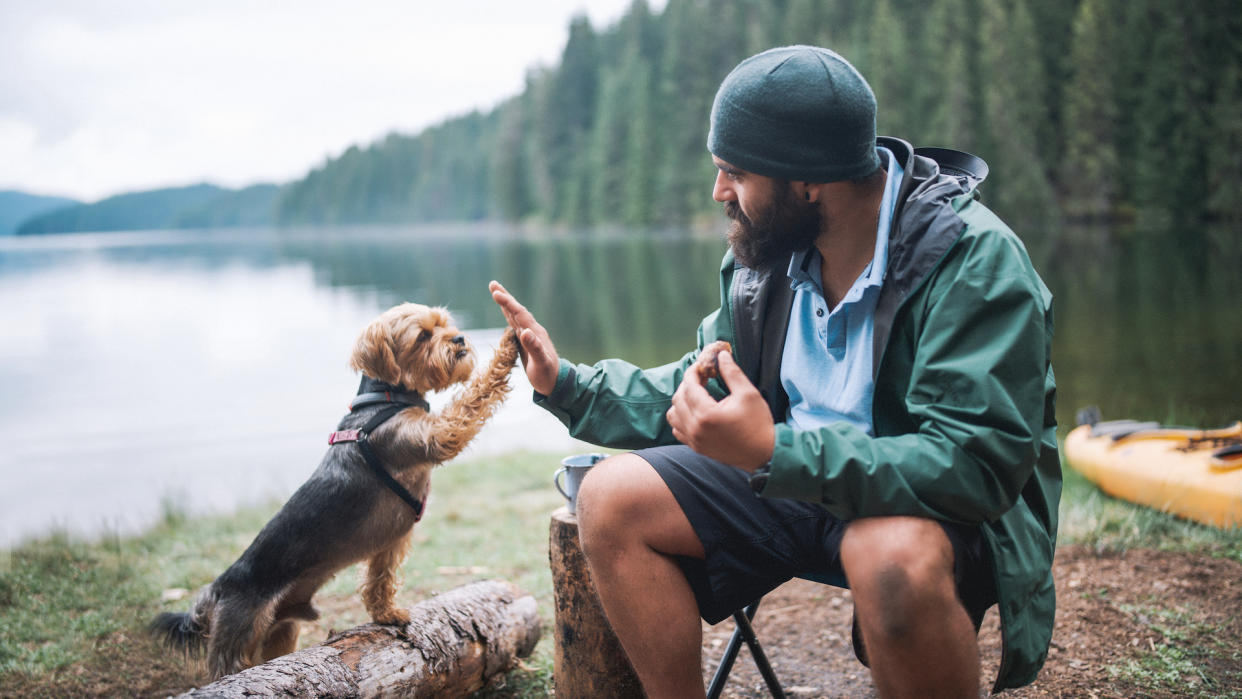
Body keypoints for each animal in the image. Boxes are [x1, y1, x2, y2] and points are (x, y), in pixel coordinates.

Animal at [151, 304, 519, 680]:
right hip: (238, 635)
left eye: (445, 324)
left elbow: (380, 579)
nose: (459, 339)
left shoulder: (389, 543)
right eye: (422, 336)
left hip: (281, 631)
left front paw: (386, 614)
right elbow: (473, 398)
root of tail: (219, 587)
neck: (386, 399)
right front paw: (510, 345)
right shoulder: (436, 436)